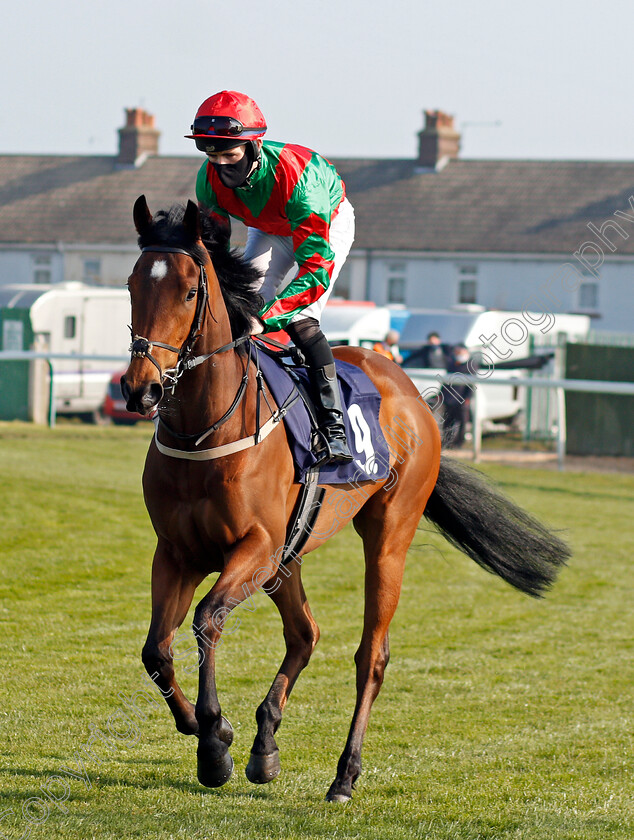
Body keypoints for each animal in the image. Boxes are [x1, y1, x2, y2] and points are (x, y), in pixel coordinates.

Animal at [119, 195, 568, 800]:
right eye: (132, 284)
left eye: (190, 292)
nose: (139, 388)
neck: (205, 430)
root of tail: (413, 393)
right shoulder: (177, 551)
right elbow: (155, 650)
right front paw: (206, 729)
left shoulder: (254, 547)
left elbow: (208, 620)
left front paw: (214, 740)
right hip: (289, 554)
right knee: (304, 634)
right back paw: (266, 744)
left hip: (385, 536)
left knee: (370, 655)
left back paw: (344, 773)